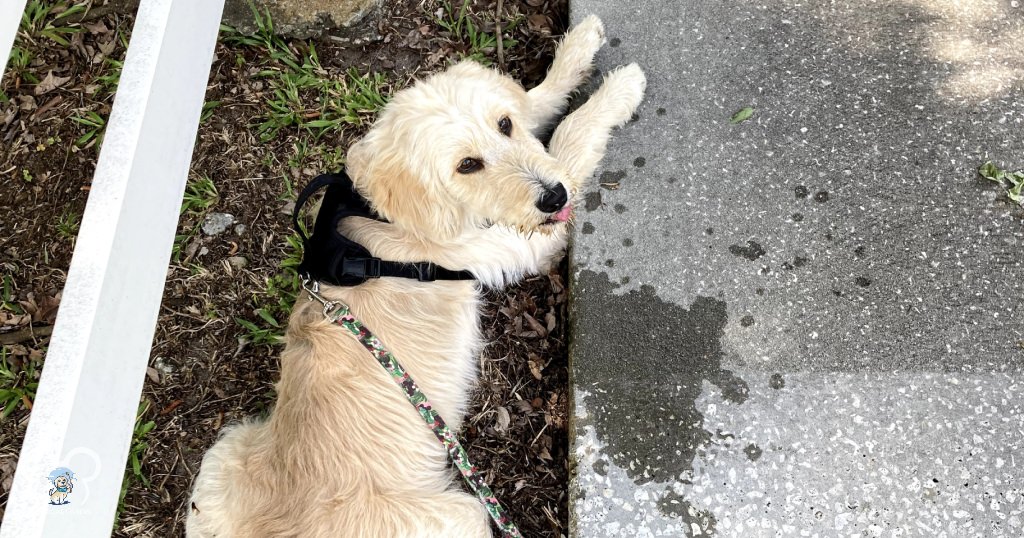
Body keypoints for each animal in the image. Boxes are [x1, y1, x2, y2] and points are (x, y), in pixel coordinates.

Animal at [188, 14, 643, 532]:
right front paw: (621, 90)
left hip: (220, 458)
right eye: (467, 165)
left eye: (504, 125)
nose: (554, 197)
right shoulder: (520, 239)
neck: (382, 212)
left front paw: (580, 45)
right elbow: (571, 132)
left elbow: (540, 99)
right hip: (462, 514)